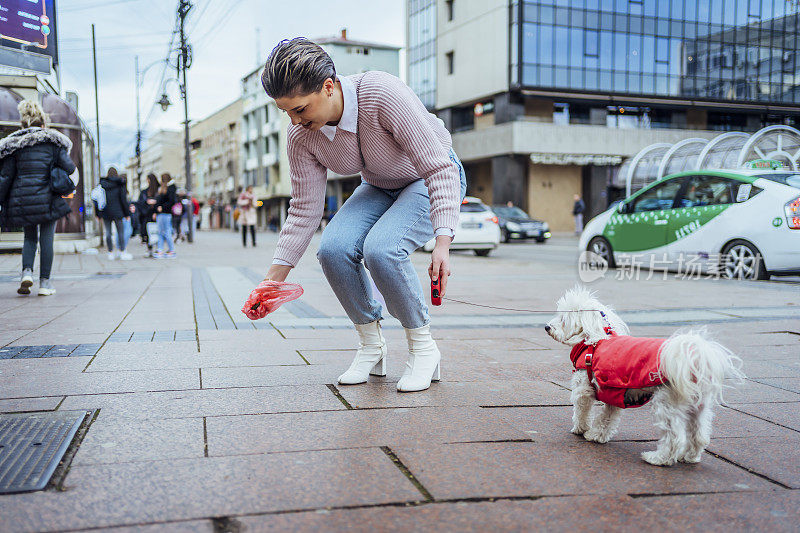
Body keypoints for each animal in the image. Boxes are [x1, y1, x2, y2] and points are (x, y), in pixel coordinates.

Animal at [544, 284, 744, 464]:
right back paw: (689, 457)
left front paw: (580, 429)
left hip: (667, 402)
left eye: (563, 318)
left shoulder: (584, 388)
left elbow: (582, 410)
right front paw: (597, 435)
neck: (594, 341)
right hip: (698, 405)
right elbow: (607, 417)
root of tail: (693, 359)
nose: (547, 327)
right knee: (699, 434)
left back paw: (658, 459)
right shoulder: (614, 393)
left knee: (674, 437)